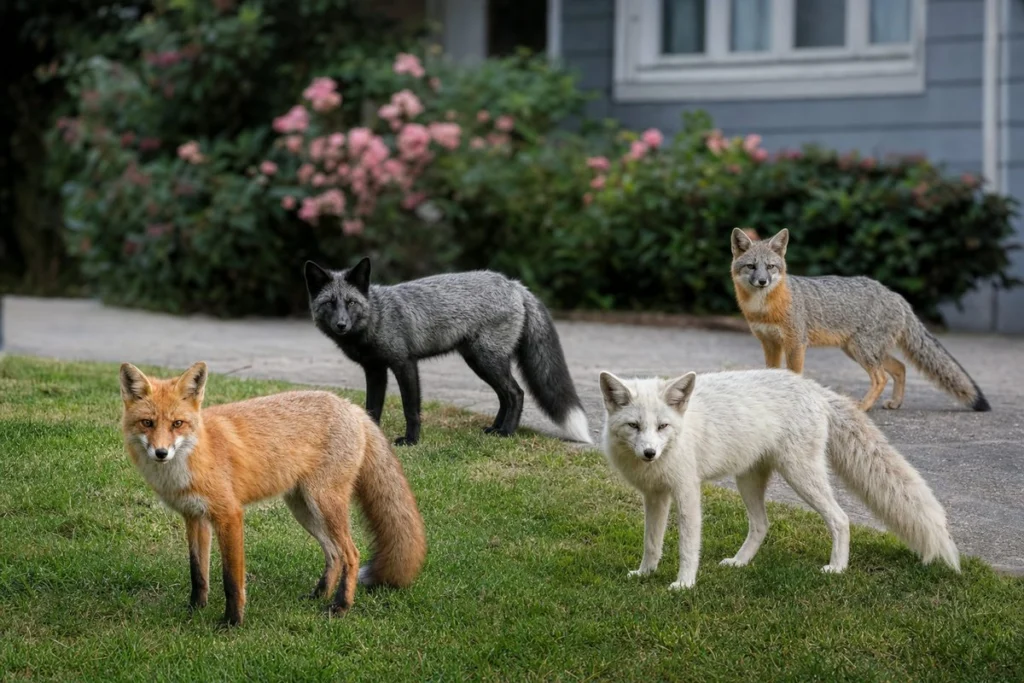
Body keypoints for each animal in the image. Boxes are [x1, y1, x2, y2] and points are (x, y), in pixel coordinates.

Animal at [119, 361, 427, 626]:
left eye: (177, 424)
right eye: (147, 423)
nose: (161, 453)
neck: (192, 458)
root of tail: (351, 406)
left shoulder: (229, 515)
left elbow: (231, 579)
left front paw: (232, 622)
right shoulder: (194, 517)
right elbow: (198, 573)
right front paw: (195, 610)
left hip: (324, 503)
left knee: (351, 553)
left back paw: (340, 606)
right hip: (304, 509)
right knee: (334, 554)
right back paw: (319, 595)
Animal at [304, 257, 592, 446]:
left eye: (351, 303)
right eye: (330, 303)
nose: (341, 325)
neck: (377, 317)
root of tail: (514, 284)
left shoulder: (404, 363)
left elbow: (411, 409)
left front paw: (411, 441)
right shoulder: (375, 370)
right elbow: (372, 408)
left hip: (487, 360)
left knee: (516, 393)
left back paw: (507, 433)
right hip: (479, 361)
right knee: (505, 396)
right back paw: (495, 428)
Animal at [599, 368, 960, 591]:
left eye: (662, 426)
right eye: (634, 426)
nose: (649, 453)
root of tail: (814, 388)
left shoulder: (687, 491)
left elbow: (688, 547)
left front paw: (684, 584)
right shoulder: (655, 496)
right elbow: (652, 543)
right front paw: (645, 574)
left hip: (801, 476)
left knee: (841, 519)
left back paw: (837, 568)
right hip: (748, 481)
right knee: (762, 525)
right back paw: (739, 563)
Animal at [730, 227, 990, 412]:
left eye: (771, 267)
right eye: (751, 266)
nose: (762, 281)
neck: (763, 307)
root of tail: (896, 296)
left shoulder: (795, 343)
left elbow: (794, 375)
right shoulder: (770, 343)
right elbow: (772, 373)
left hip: (862, 349)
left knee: (881, 377)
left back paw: (863, 406)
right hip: (859, 350)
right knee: (900, 367)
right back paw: (895, 403)